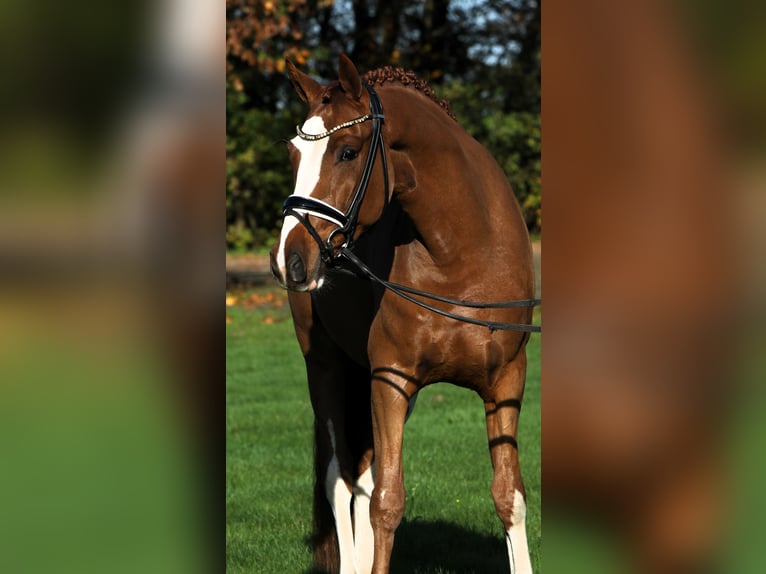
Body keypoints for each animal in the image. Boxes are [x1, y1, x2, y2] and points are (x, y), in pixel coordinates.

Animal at [272, 55, 536, 574]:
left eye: (348, 152)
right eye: (293, 156)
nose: (289, 259)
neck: (462, 257)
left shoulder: (507, 383)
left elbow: (508, 496)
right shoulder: (389, 379)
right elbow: (387, 501)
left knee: (362, 476)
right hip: (327, 367)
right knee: (340, 479)